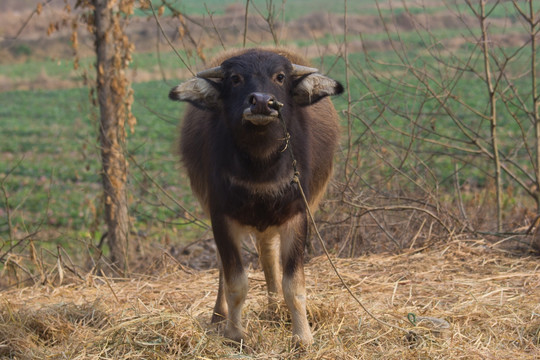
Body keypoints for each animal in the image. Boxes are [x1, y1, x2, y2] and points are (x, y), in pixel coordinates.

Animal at [170, 47, 342, 346]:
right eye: (235, 78)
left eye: (280, 76)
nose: (262, 102)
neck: (262, 167)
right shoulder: (221, 217)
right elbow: (236, 282)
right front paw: (234, 333)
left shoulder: (297, 215)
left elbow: (294, 284)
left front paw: (303, 336)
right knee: (226, 267)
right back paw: (219, 316)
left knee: (268, 256)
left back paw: (274, 307)